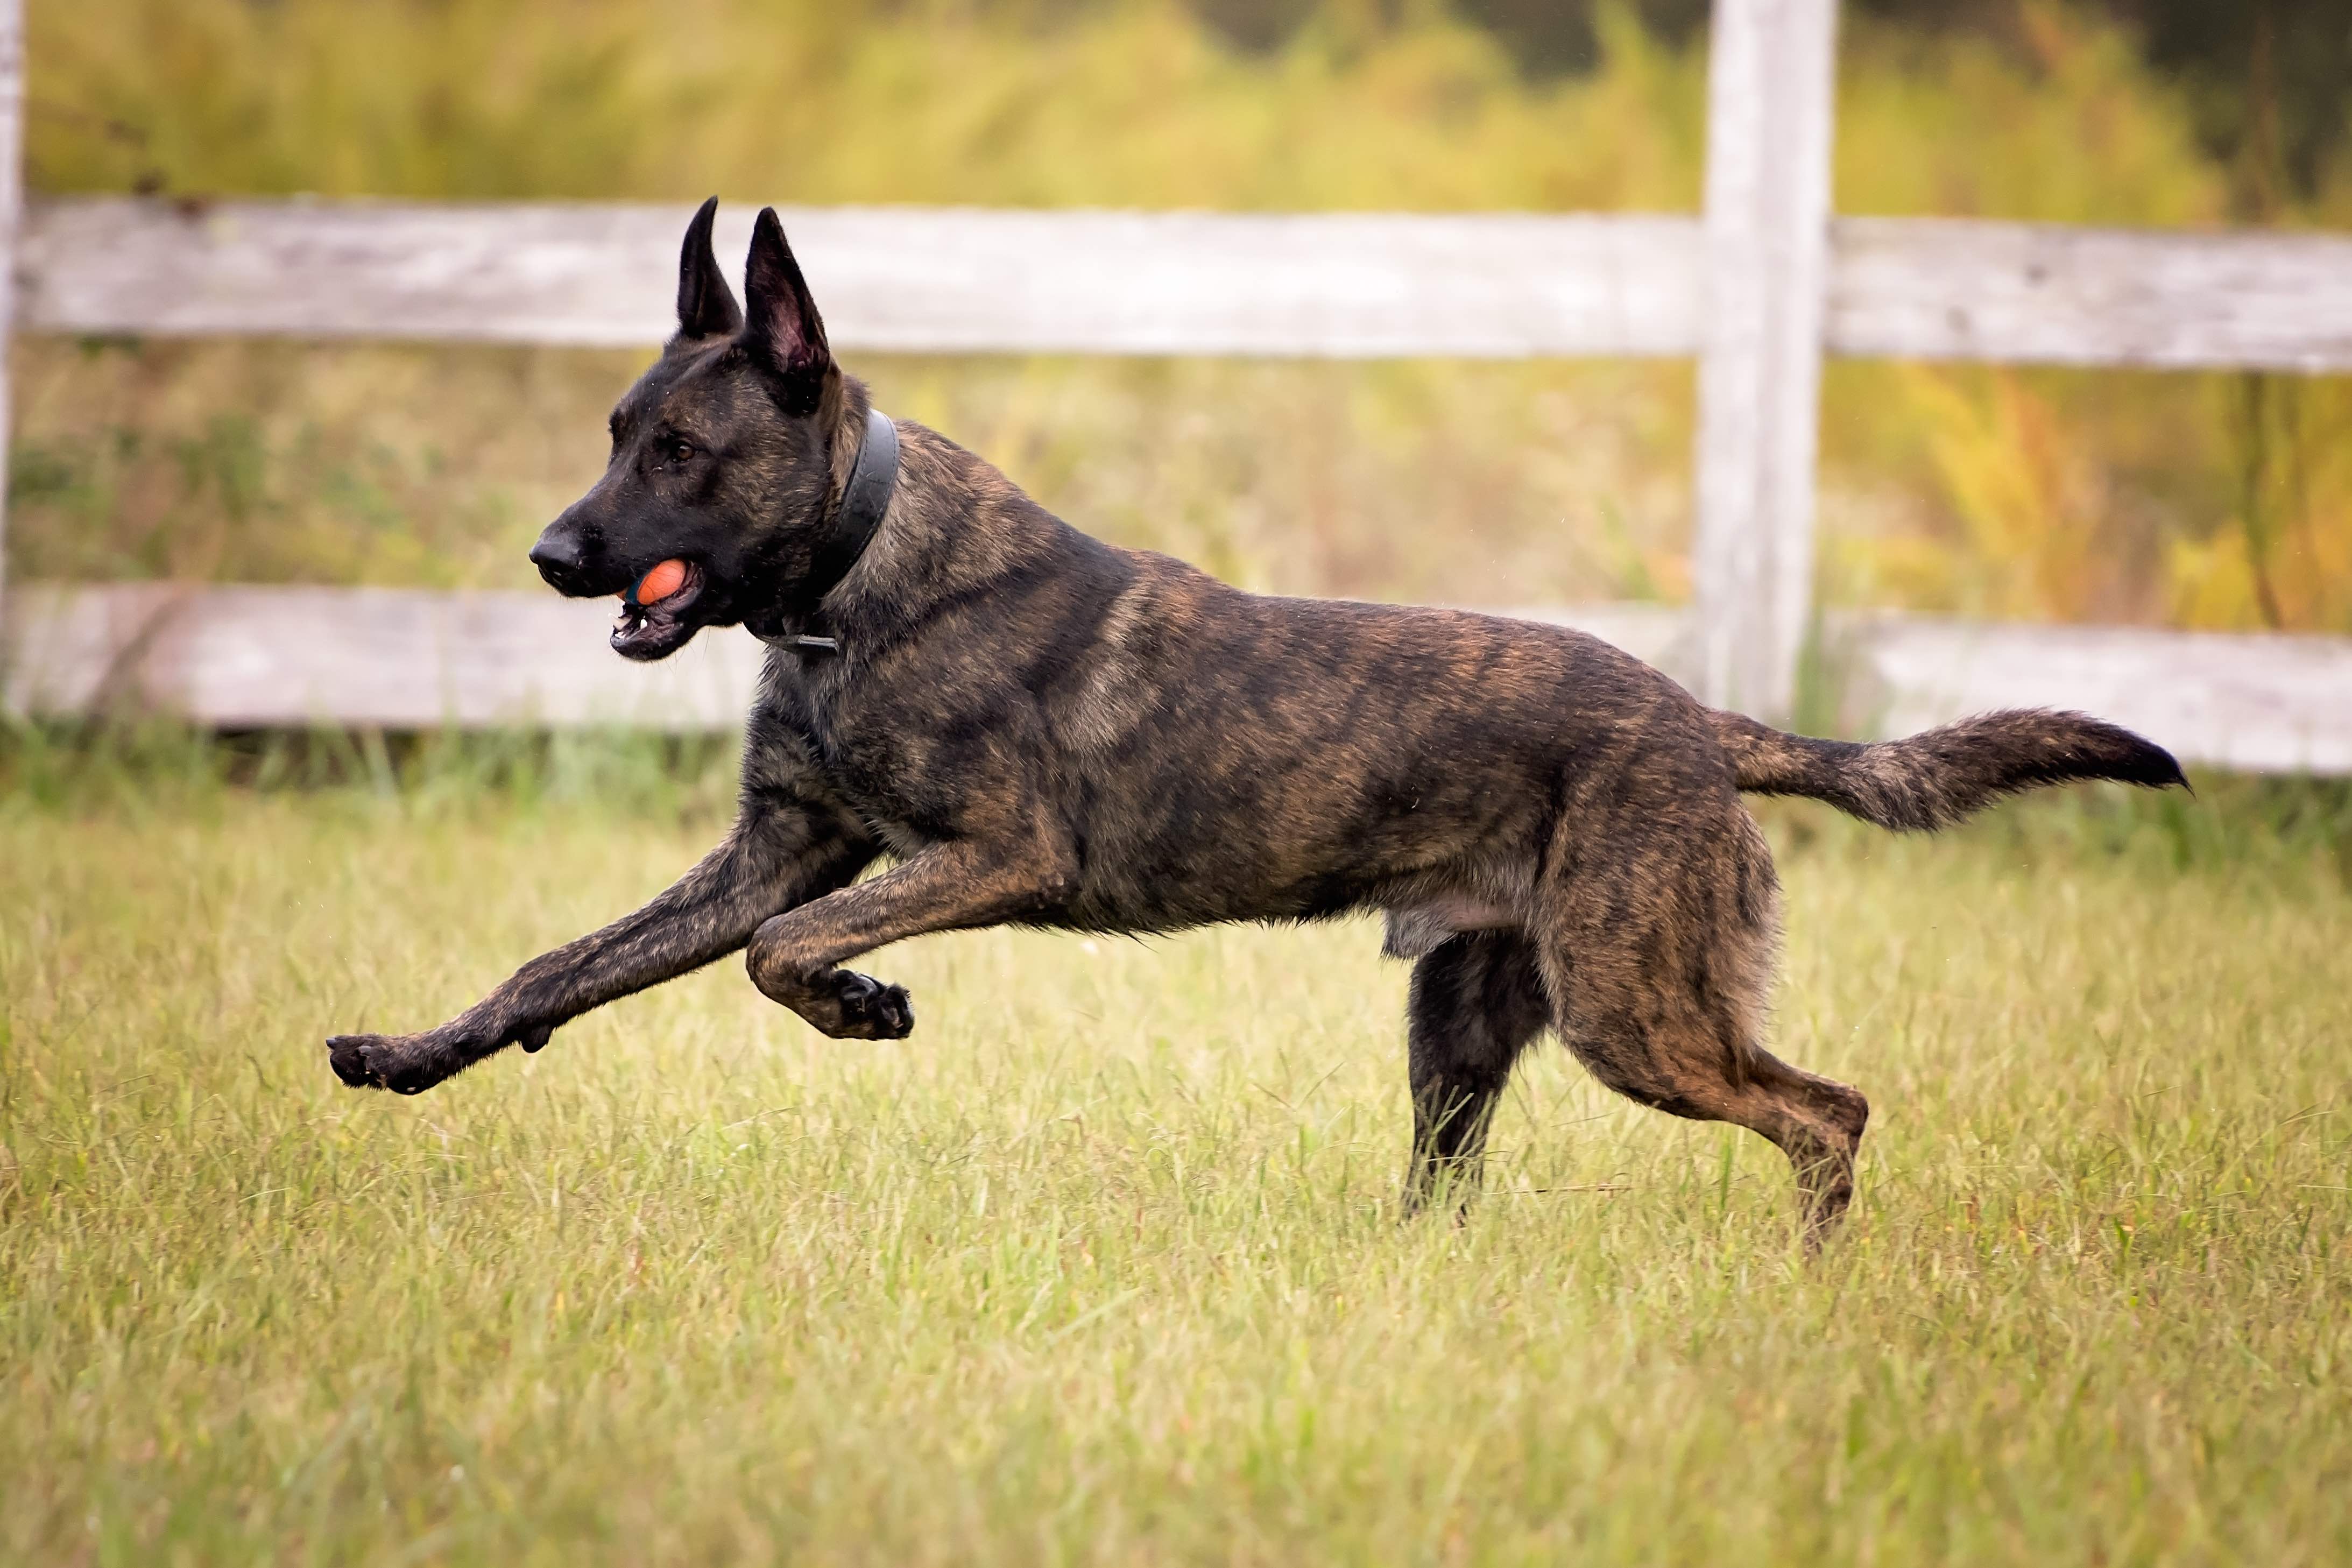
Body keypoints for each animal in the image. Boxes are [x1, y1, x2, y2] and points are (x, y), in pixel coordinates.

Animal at [327, 202, 2183, 1241]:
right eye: (614, 433)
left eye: (680, 454)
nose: (551, 554)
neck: (856, 571)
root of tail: (1700, 721)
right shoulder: (776, 849)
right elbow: (556, 969)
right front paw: (414, 1052)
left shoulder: (985, 855)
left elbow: (788, 957)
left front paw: (861, 1003)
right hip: (1464, 1028)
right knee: (1459, 1182)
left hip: (1629, 1010)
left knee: (1825, 1111)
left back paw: (1808, 1272)